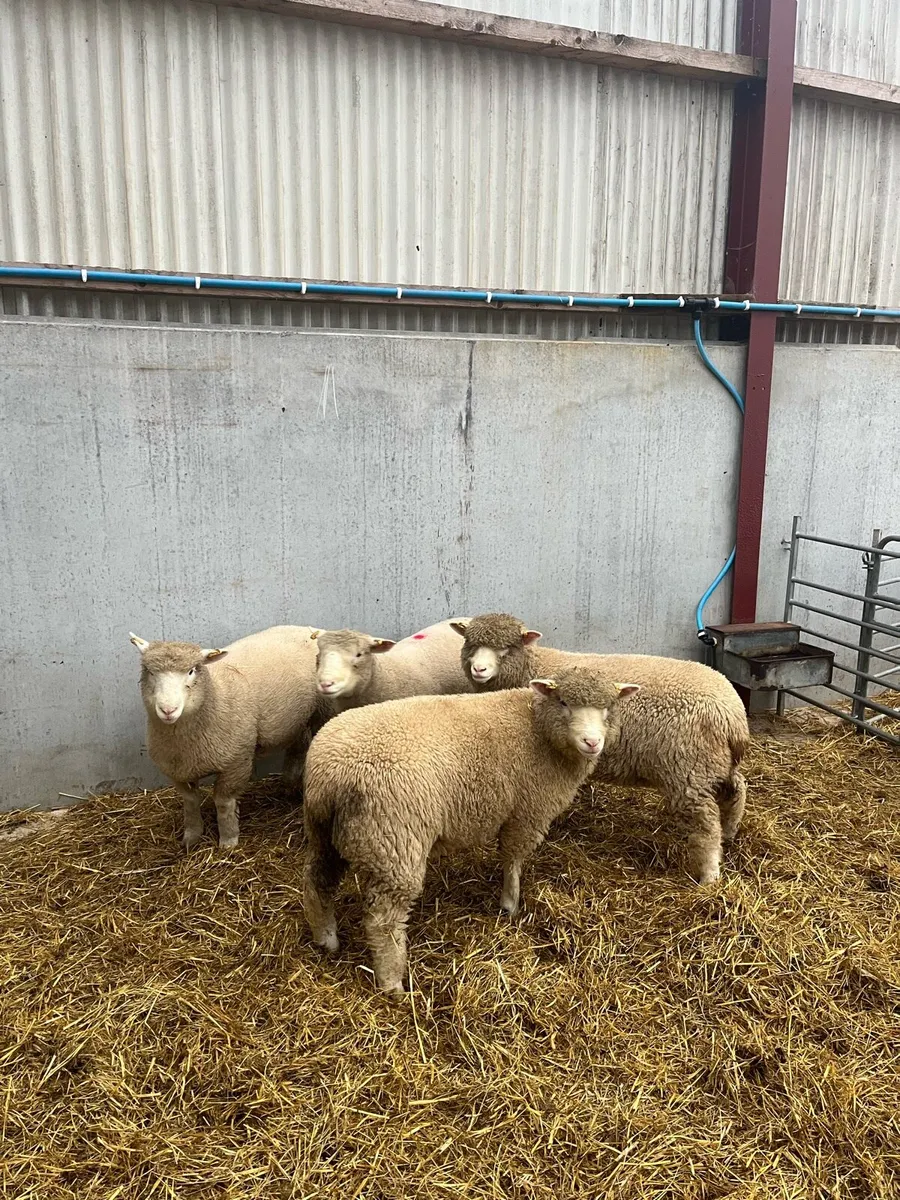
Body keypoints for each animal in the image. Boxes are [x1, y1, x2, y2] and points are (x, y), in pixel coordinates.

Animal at [129, 625, 327, 849]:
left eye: (191, 671)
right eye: (150, 671)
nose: (168, 710)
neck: (215, 696)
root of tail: (310, 629)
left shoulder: (236, 763)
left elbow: (223, 803)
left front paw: (228, 841)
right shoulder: (177, 771)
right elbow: (190, 802)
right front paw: (191, 836)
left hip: (322, 711)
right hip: (297, 721)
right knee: (298, 748)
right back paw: (288, 784)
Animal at [303, 668, 640, 993]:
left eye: (608, 707)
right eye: (564, 703)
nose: (592, 742)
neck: (538, 729)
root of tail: (331, 776)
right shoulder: (527, 813)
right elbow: (513, 859)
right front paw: (510, 905)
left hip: (325, 834)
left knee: (317, 883)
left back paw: (326, 939)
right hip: (394, 843)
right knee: (382, 922)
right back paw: (392, 984)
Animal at [450, 614, 750, 885]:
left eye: (507, 648)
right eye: (471, 643)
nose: (479, 670)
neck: (533, 666)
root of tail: (733, 714)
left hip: (689, 769)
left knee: (706, 824)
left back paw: (709, 877)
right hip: (713, 764)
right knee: (738, 788)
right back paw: (730, 832)